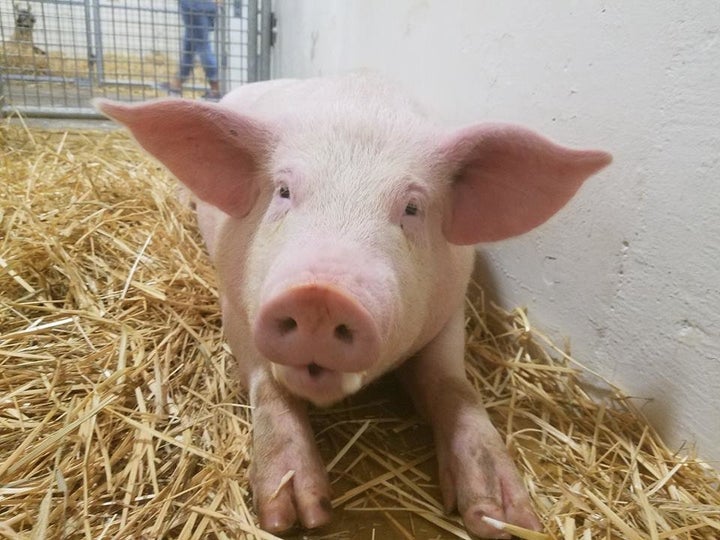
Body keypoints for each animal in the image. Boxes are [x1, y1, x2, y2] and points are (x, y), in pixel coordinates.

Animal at [94, 74, 612, 536]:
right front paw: (296, 517)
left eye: (412, 208)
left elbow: (454, 386)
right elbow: (268, 382)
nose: (320, 295)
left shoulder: (451, 311)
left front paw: (506, 520)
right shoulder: (233, 302)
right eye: (283, 191)